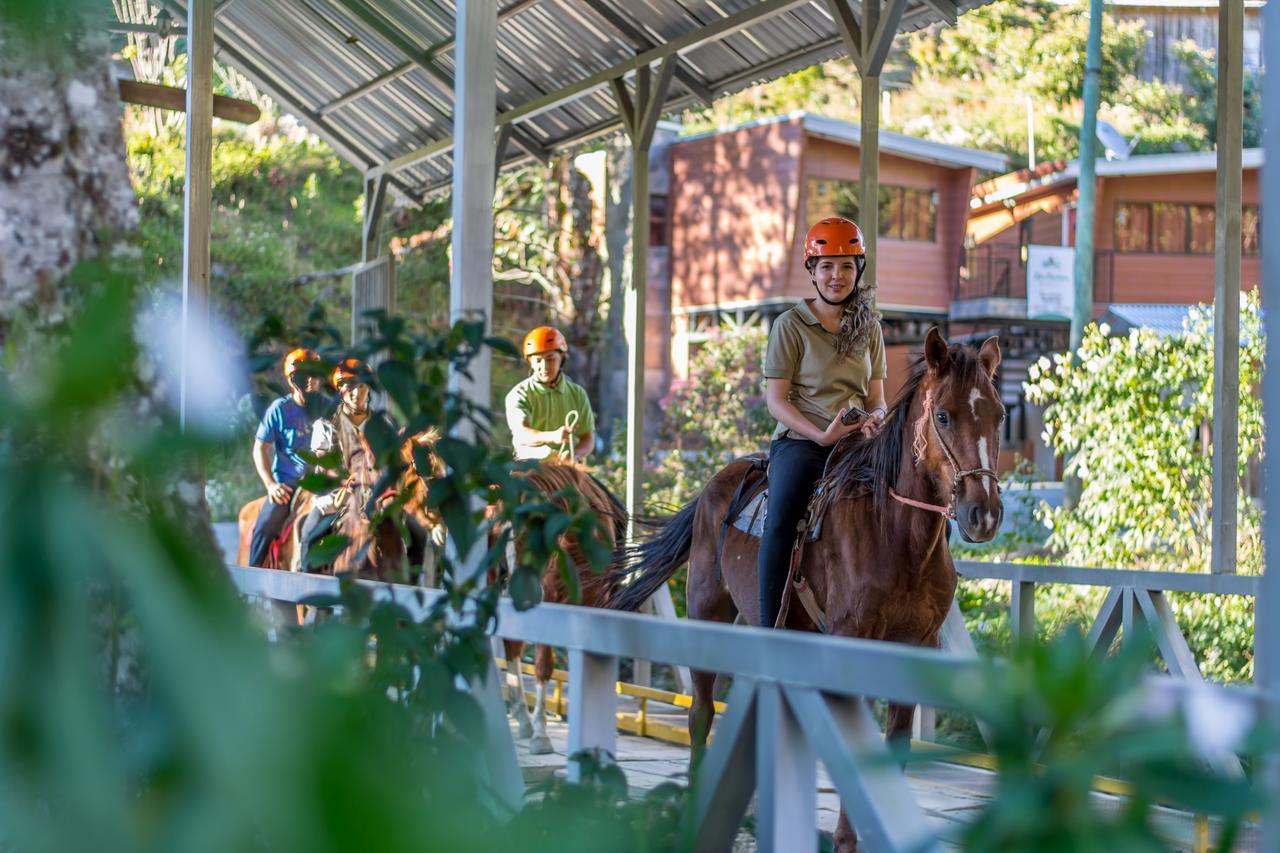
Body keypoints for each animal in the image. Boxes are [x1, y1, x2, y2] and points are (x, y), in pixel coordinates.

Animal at [494, 458, 624, 753]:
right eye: (499, 530)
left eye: (536, 528)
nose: (516, 589)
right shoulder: (548, 605)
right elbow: (543, 665)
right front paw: (541, 734)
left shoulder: (596, 605)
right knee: (513, 648)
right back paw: (524, 719)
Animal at [604, 326, 1003, 850]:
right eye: (943, 415)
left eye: (999, 415)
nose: (984, 514)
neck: (895, 534)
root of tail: (721, 480)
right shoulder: (850, 643)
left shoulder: (915, 647)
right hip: (707, 611)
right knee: (701, 715)